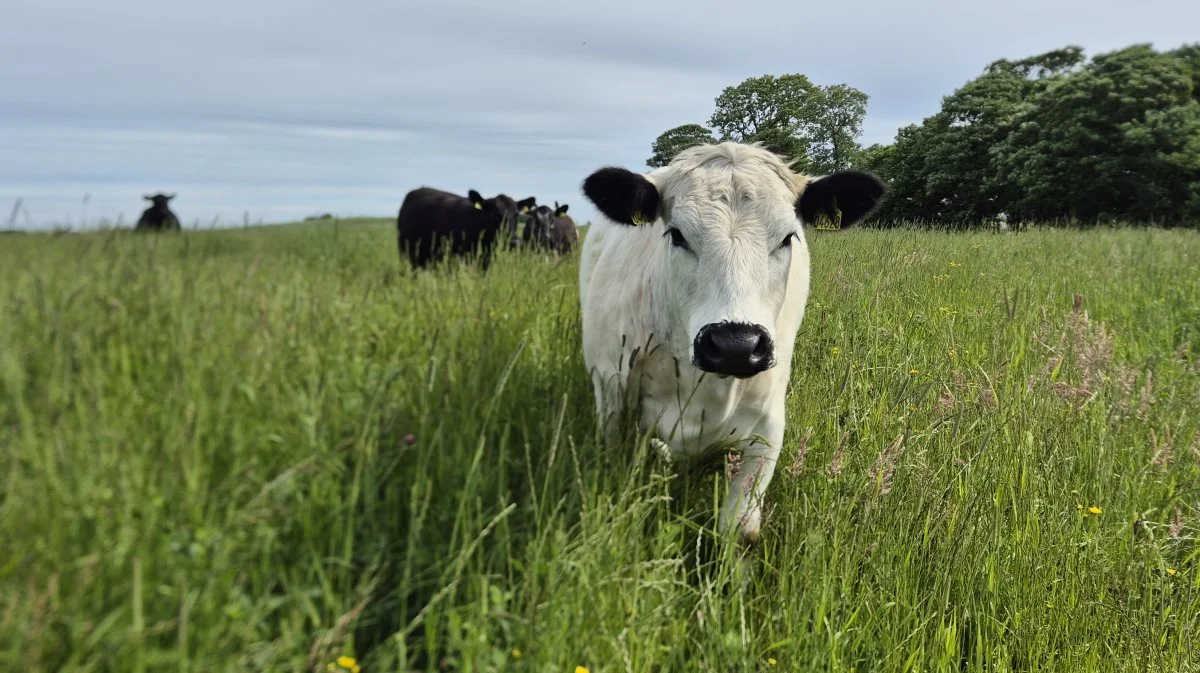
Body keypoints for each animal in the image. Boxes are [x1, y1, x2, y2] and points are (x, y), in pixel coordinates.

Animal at [576, 142, 888, 547]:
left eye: (787, 238)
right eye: (677, 235)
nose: (735, 345)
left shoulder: (767, 430)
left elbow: (738, 530)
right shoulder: (610, 393)